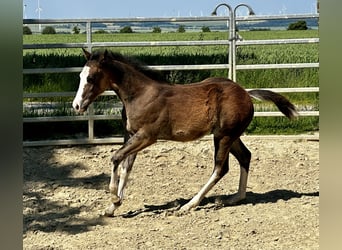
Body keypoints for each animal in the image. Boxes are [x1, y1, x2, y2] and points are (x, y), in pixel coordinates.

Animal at [72, 48, 296, 217]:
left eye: (91, 78)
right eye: (80, 76)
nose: (76, 106)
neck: (140, 95)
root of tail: (246, 94)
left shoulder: (147, 136)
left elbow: (115, 157)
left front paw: (113, 197)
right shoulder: (132, 135)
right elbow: (126, 167)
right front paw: (113, 206)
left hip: (223, 136)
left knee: (220, 168)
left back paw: (190, 204)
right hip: (231, 135)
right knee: (245, 156)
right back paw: (235, 197)